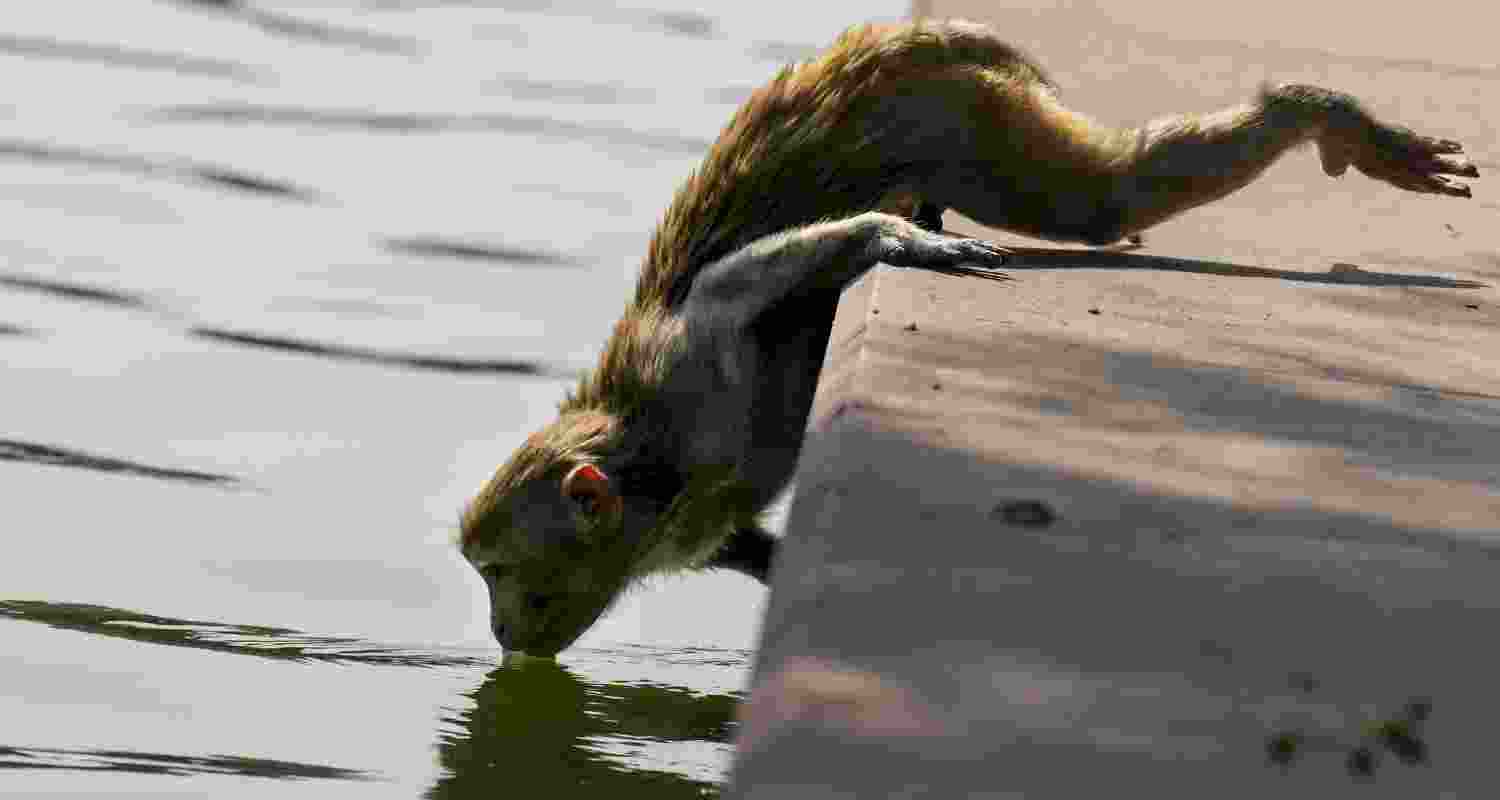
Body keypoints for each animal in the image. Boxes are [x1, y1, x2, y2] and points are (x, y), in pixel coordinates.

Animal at [457, 19, 1479, 656]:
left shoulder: (688, 366)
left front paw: (890, 238)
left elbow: (735, 283)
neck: (656, 473)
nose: (501, 630)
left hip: (956, 109)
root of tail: (890, 44)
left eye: (502, 571)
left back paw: (1317, 111)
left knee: (1100, 198)